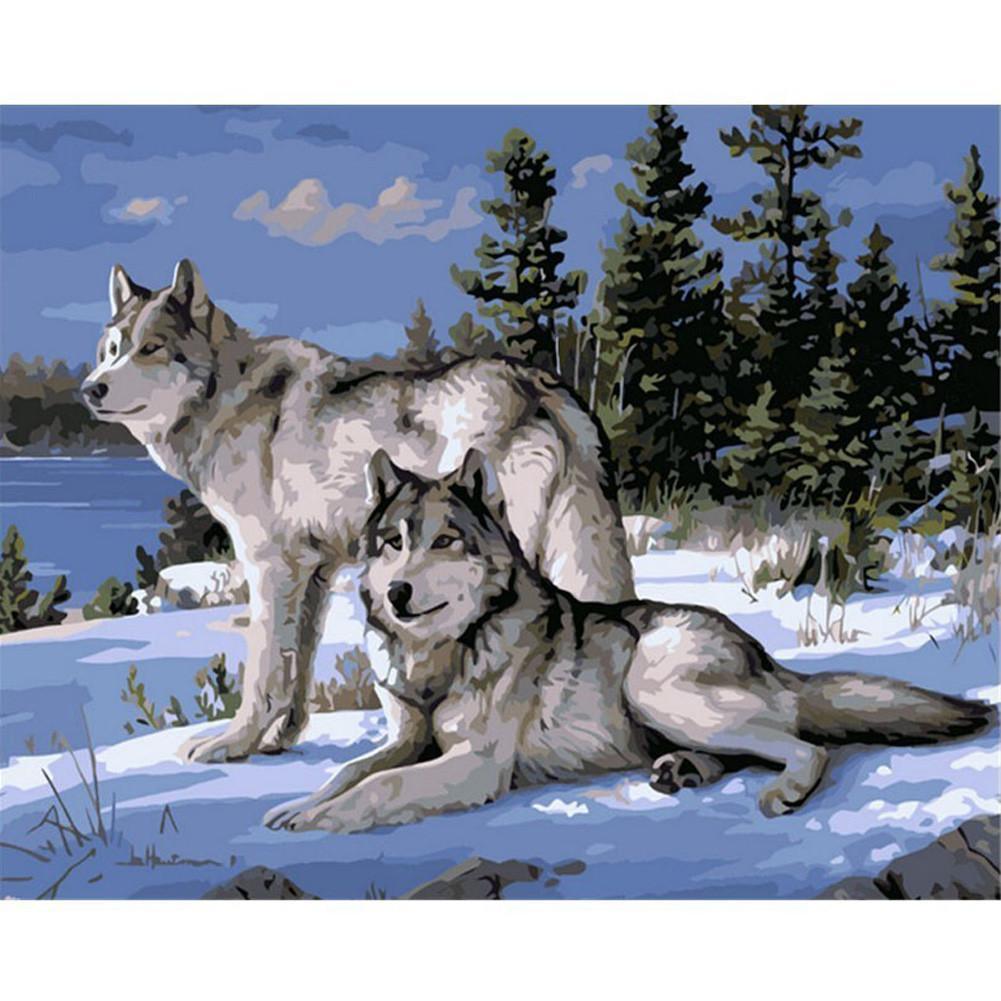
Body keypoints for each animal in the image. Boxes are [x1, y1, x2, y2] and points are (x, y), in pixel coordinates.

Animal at [81, 260, 635, 763]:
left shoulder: (270, 569)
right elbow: (297, 670)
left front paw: (232, 746)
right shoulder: (315, 573)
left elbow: (264, 673)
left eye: (150, 348)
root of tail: (539, 384)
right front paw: (278, 742)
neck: (225, 399)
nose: (91, 389)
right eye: (111, 351)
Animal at [262, 450, 995, 833]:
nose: (397, 593)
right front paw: (296, 804)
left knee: (807, 748)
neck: (440, 657)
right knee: (751, 749)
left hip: (653, 686)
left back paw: (781, 792)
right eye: (392, 543)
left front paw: (316, 819)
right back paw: (683, 770)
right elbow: (349, 771)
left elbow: (380, 788)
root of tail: (765, 655)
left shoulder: (475, 763)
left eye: (444, 540)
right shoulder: (406, 739)